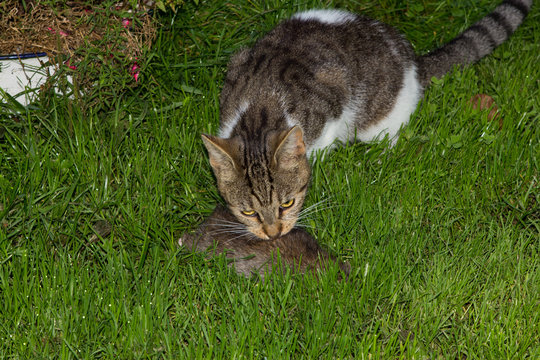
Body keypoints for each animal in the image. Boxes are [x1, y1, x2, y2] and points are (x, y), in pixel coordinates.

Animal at [201, 2, 532, 242]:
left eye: (287, 204)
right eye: (248, 212)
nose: (273, 235)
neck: (259, 111)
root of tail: (413, 61)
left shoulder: (332, 104)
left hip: (382, 120)